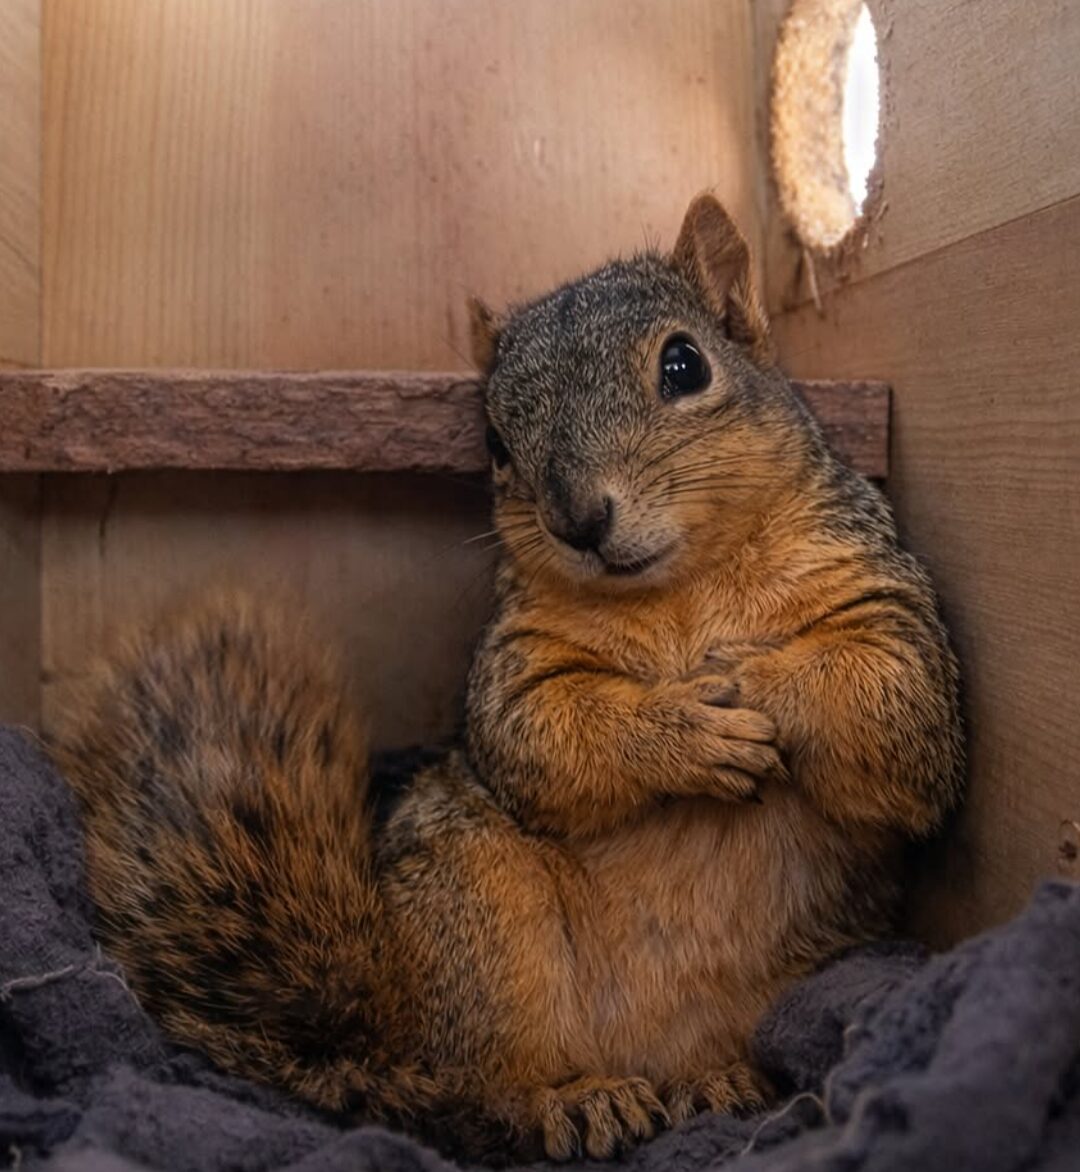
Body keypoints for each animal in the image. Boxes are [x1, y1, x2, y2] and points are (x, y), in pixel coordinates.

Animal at [51, 194, 964, 1163]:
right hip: (481, 909)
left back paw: (719, 1082)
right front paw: (686, 728)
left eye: (684, 364)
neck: (681, 586)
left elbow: (890, 714)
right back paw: (573, 1101)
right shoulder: (517, 667)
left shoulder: (888, 610)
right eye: (493, 439)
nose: (578, 519)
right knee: (475, 1095)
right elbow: (546, 738)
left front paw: (747, 676)